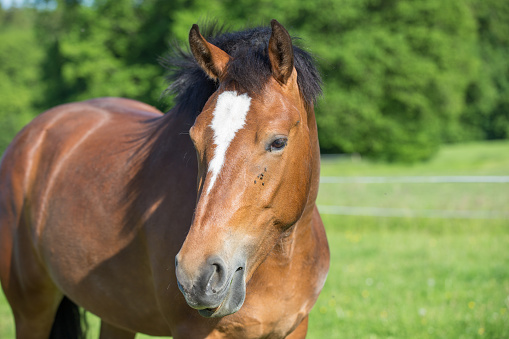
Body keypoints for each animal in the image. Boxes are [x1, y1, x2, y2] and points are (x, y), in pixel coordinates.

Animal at [0, 19, 330, 339]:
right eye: (195, 139)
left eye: (278, 142)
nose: (196, 275)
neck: (281, 262)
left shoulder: (295, 328)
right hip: (32, 311)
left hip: (117, 315)